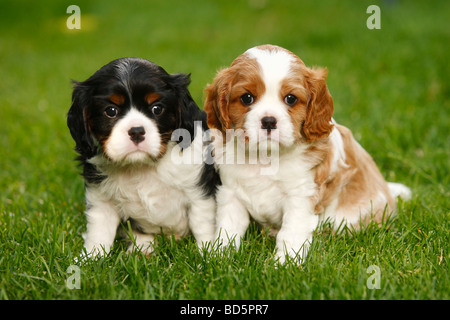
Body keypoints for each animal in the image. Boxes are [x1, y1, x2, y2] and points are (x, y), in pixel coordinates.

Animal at [67, 57, 220, 258]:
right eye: (111, 111)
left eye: (157, 109)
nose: (137, 131)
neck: (142, 166)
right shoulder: (101, 199)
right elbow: (99, 232)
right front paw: (90, 258)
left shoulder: (199, 192)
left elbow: (203, 225)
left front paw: (210, 255)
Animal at [204, 45, 412, 264]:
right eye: (247, 98)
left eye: (291, 98)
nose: (269, 121)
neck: (266, 158)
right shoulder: (231, 193)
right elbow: (228, 228)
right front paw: (218, 257)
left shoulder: (301, 196)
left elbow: (290, 233)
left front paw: (285, 264)